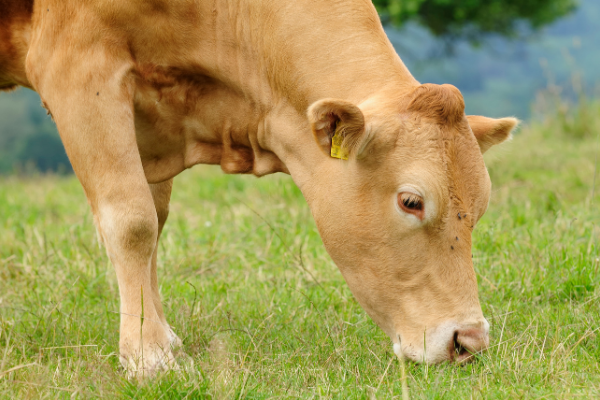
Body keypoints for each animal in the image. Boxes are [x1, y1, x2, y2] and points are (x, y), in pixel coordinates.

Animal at [0, 0, 516, 378]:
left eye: (480, 208)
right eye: (411, 201)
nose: (469, 341)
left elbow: (154, 220)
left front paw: (162, 339)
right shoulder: (80, 67)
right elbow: (132, 223)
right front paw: (147, 357)